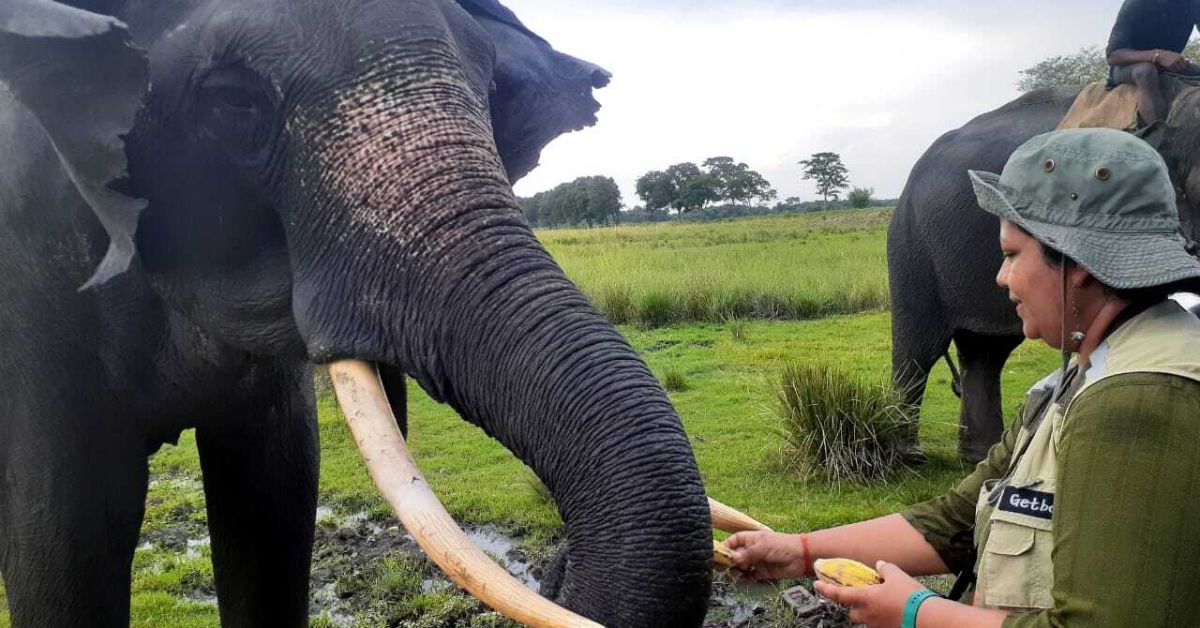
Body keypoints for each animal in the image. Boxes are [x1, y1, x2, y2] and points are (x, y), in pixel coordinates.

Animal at [0, 1, 720, 628]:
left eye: (491, 89)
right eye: (234, 100)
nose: (558, 567)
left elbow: (275, 493)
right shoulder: (29, 267)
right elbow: (63, 524)